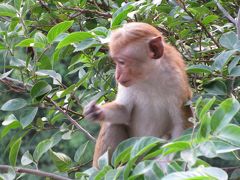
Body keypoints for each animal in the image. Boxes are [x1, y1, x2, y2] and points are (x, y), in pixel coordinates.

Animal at [83, 21, 192, 168]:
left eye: (122, 62)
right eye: (116, 62)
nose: (117, 76)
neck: (149, 77)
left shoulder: (176, 82)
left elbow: (180, 128)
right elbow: (124, 111)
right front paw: (97, 111)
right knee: (113, 124)